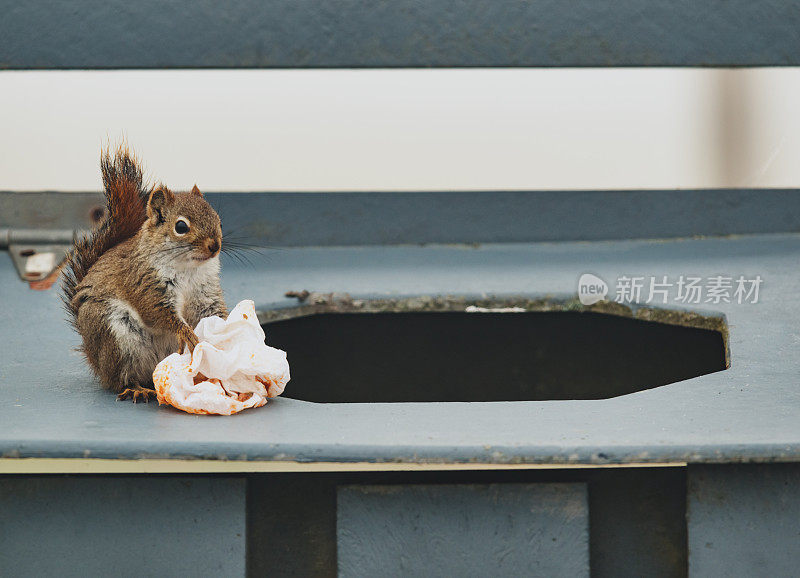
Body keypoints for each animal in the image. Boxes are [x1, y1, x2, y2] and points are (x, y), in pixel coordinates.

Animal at [60, 145, 225, 400]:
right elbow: (157, 313)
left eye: (217, 218)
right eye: (181, 227)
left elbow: (212, 312)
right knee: (121, 377)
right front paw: (185, 331)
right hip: (115, 336)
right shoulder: (144, 282)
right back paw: (137, 389)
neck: (188, 268)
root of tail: (95, 360)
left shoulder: (205, 291)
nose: (214, 246)